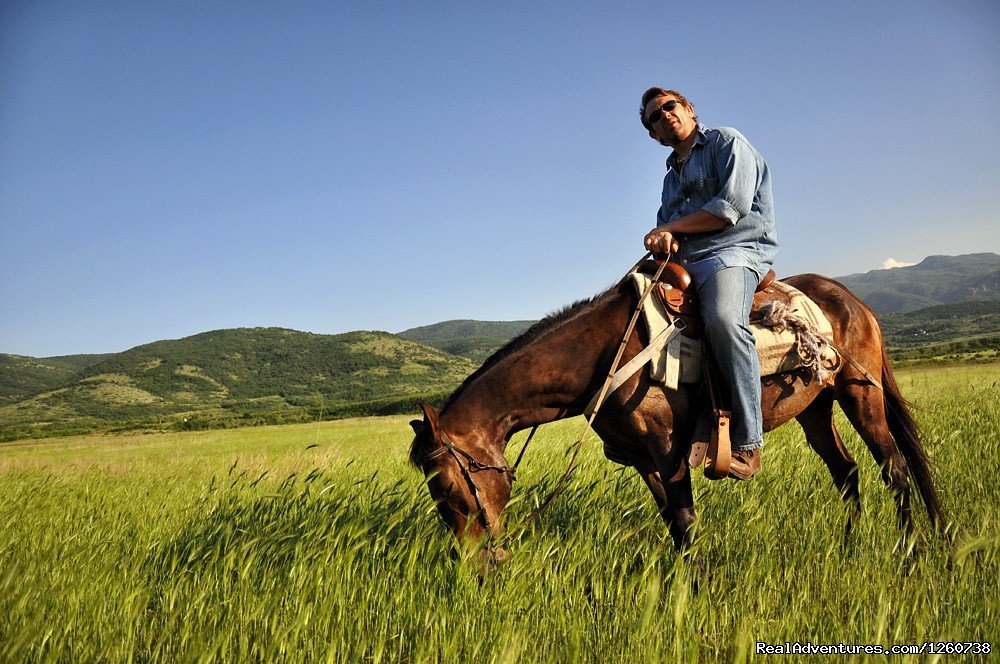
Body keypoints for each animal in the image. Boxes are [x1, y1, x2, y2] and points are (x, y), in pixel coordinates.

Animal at [406, 270, 936, 560]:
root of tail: (852, 299)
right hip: (815, 409)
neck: (603, 357)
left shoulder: (668, 452)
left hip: (859, 396)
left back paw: (908, 548)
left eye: (448, 488)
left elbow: (685, 521)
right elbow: (674, 526)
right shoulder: (644, 460)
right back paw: (850, 545)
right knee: (846, 473)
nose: (478, 565)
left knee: (894, 467)